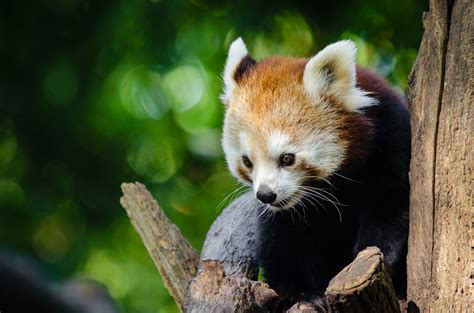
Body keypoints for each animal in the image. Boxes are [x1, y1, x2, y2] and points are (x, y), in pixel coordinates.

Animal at [199, 36, 408, 304]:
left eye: (287, 158)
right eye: (247, 162)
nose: (266, 195)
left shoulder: (391, 143)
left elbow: (388, 212)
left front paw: (382, 264)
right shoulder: (283, 216)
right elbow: (281, 246)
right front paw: (301, 295)